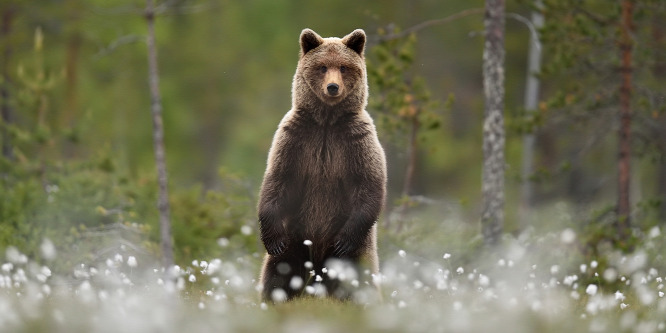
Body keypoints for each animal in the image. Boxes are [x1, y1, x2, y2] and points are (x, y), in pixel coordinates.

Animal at [256, 29, 386, 304]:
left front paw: (344, 240)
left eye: (344, 67)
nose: (333, 87)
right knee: (278, 273)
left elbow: (369, 184)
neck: (327, 121)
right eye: (323, 66)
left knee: (358, 278)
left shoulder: (356, 140)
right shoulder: (295, 138)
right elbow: (277, 180)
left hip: (359, 251)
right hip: (295, 237)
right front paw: (272, 239)